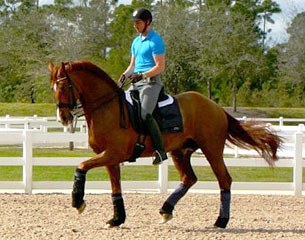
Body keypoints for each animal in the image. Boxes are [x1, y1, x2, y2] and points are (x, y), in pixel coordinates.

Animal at [48, 60, 282, 229]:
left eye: (63, 85)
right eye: (52, 88)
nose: (63, 118)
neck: (107, 108)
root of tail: (216, 107)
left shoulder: (113, 153)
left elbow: (81, 167)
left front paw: (78, 203)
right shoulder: (110, 157)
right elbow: (115, 187)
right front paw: (117, 219)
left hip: (212, 149)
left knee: (224, 180)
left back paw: (221, 221)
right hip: (181, 151)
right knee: (189, 178)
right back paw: (166, 210)